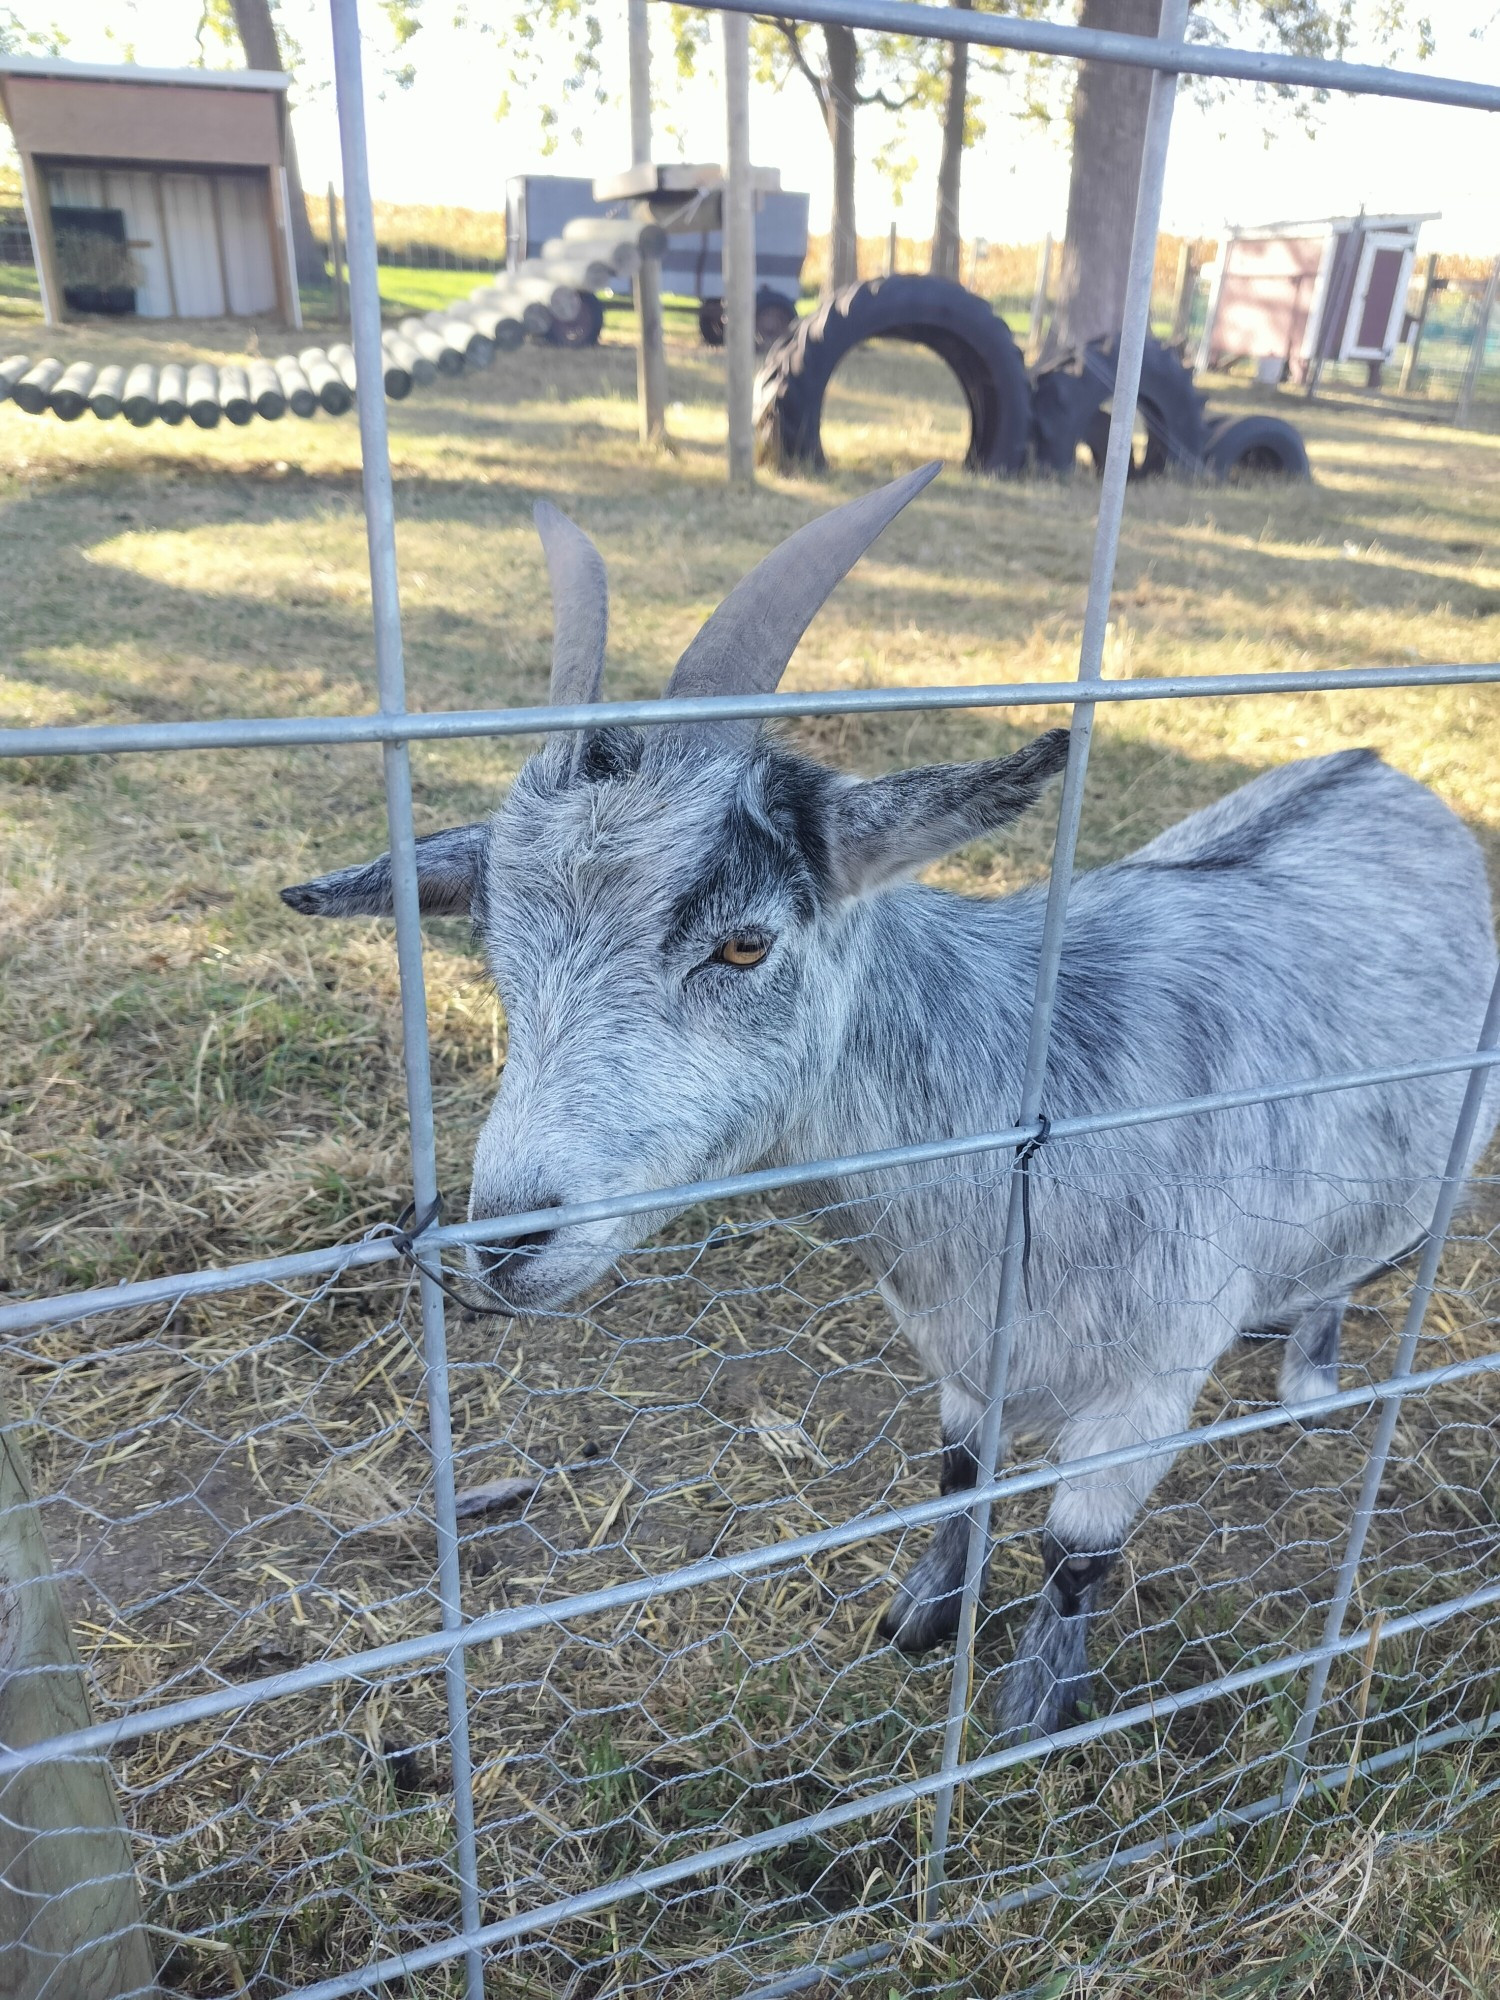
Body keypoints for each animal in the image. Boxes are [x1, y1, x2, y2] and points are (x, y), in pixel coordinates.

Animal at [288, 464, 1496, 1736]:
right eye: (494, 945)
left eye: (743, 941)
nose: (507, 1240)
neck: (1032, 1099)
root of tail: (1379, 763)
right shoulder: (962, 1353)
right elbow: (957, 1477)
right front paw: (922, 1615)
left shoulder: (1149, 1380)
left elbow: (1077, 1552)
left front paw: (1028, 1712)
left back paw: (1311, 1371)